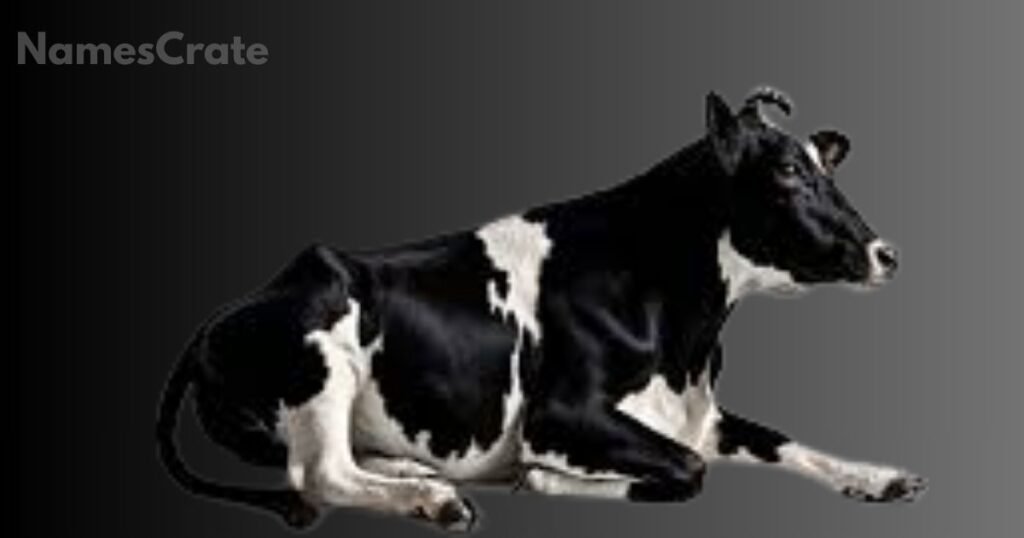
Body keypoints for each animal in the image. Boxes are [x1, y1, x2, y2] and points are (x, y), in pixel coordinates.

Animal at [157, 88, 925, 532]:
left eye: (825, 168)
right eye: (788, 172)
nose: (885, 252)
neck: (686, 337)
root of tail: (220, 318)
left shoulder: (699, 411)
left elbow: (787, 442)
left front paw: (879, 477)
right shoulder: (562, 414)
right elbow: (685, 470)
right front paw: (545, 479)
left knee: (344, 459)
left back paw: (416, 473)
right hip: (320, 355)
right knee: (318, 472)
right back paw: (434, 498)